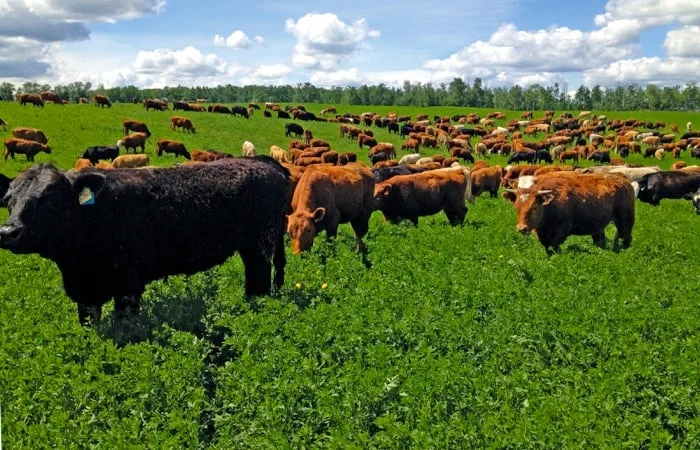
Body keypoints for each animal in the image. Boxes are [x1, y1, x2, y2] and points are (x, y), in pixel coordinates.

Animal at [0, 158, 289, 325]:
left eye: (49, 197)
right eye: (8, 199)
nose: (8, 231)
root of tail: (267, 164)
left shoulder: (128, 285)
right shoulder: (85, 291)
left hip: (260, 247)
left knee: (259, 283)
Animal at [503, 173, 635, 254]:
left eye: (534, 207)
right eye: (517, 207)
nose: (522, 228)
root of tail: (624, 181)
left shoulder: (559, 233)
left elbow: (554, 247)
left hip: (624, 222)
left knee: (625, 238)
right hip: (599, 228)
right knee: (601, 240)